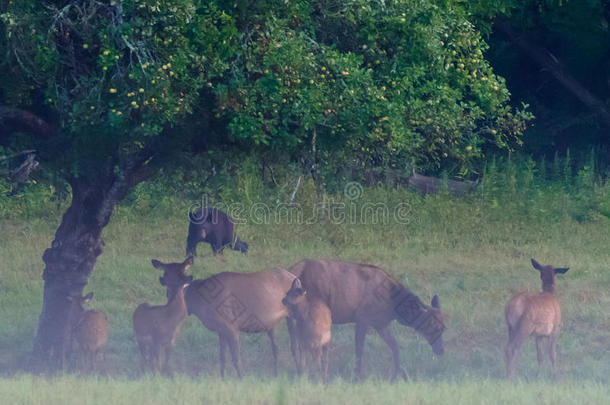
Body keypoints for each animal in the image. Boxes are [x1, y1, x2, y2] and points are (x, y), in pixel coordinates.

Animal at [157, 260, 296, 378]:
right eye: (166, 283)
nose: (171, 304)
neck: (200, 306)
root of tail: (293, 275)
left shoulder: (231, 326)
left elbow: (236, 358)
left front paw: (241, 379)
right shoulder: (221, 330)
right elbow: (222, 357)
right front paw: (223, 379)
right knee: (279, 347)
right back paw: (278, 373)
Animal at [288, 258, 444, 378]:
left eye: (444, 327)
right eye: (433, 327)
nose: (441, 350)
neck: (394, 308)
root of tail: (293, 269)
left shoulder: (381, 324)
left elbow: (395, 347)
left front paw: (397, 375)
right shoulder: (363, 318)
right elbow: (359, 350)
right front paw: (357, 376)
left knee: (296, 344)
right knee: (301, 344)